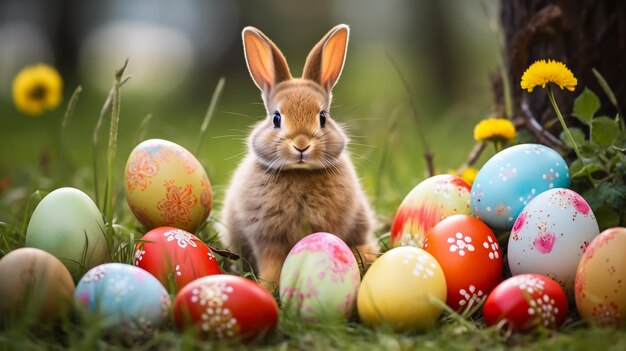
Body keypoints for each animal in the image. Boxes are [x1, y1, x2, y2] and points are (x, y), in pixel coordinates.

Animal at [217, 22, 378, 292]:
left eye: (322, 117)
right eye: (276, 118)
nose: (301, 145)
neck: (299, 173)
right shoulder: (266, 238)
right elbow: (271, 264)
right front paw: (267, 287)